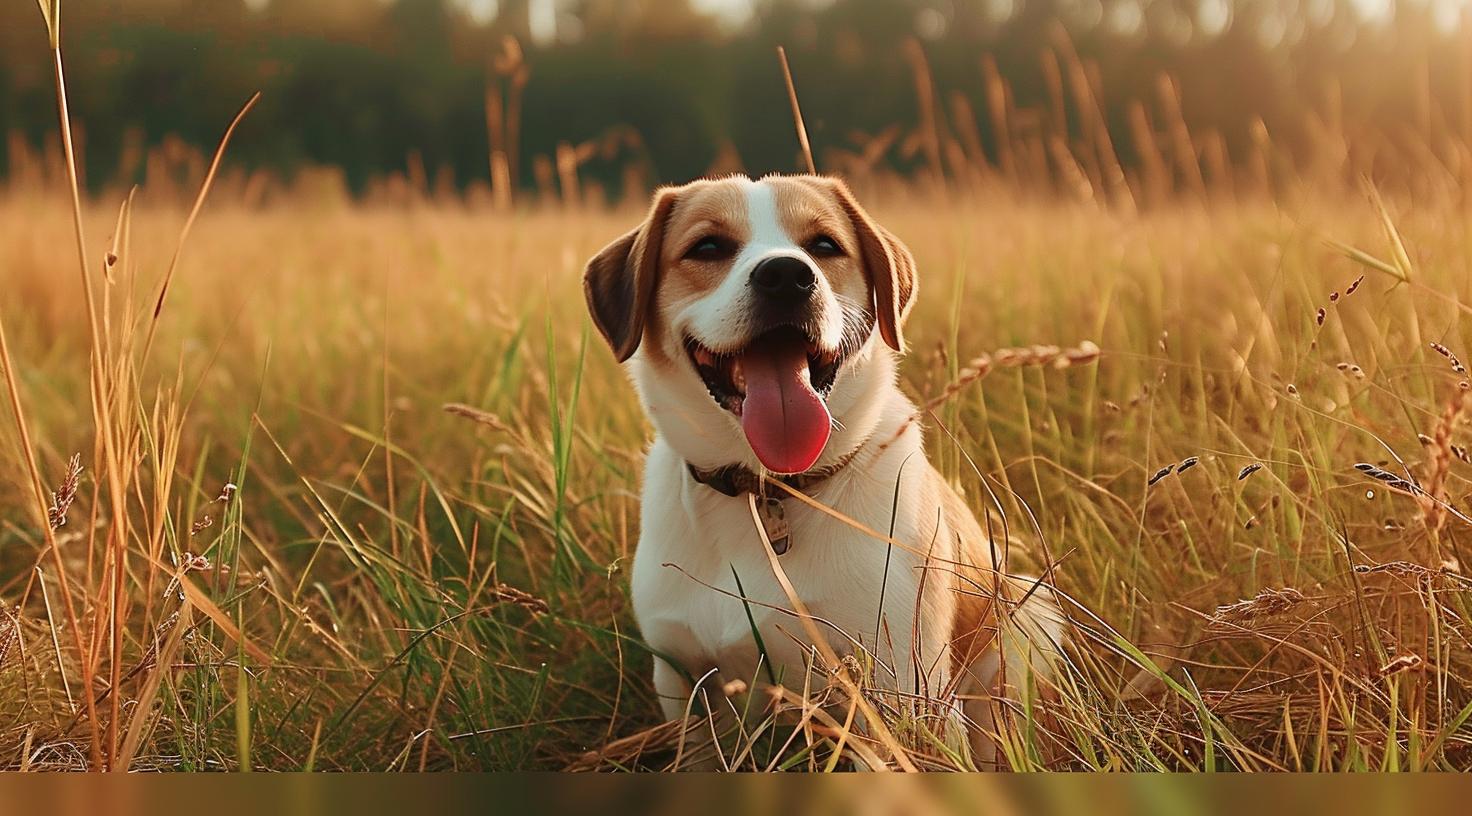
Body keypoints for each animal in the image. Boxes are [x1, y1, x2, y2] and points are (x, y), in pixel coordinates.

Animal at [579, 171, 1065, 760]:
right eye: (708, 247)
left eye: (825, 245)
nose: (786, 276)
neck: (769, 490)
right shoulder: (684, 684)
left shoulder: (903, 687)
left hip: (1032, 615)